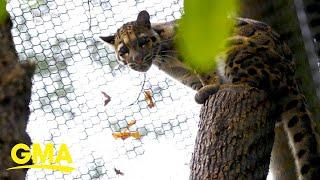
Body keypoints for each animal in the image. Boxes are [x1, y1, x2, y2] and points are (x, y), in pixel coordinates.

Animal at [101, 10, 320, 179]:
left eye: (143, 41)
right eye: (123, 50)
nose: (137, 60)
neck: (165, 60)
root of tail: (292, 77)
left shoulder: (199, 54)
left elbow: (206, 74)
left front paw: (210, 88)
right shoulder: (185, 76)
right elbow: (197, 82)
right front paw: (203, 91)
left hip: (235, 48)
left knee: (253, 82)